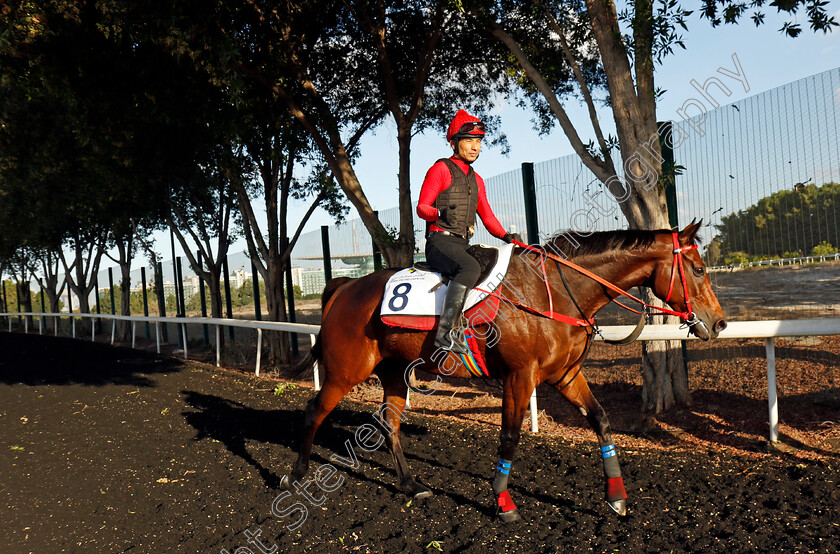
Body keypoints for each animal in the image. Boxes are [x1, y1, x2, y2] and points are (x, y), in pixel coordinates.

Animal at [284, 220, 728, 516]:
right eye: (699, 269)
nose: (720, 322)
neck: (553, 293)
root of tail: (344, 286)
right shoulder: (520, 376)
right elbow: (510, 438)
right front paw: (502, 501)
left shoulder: (565, 374)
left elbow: (601, 420)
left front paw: (616, 496)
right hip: (346, 371)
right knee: (313, 411)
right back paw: (297, 475)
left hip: (394, 371)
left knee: (390, 425)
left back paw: (411, 485)